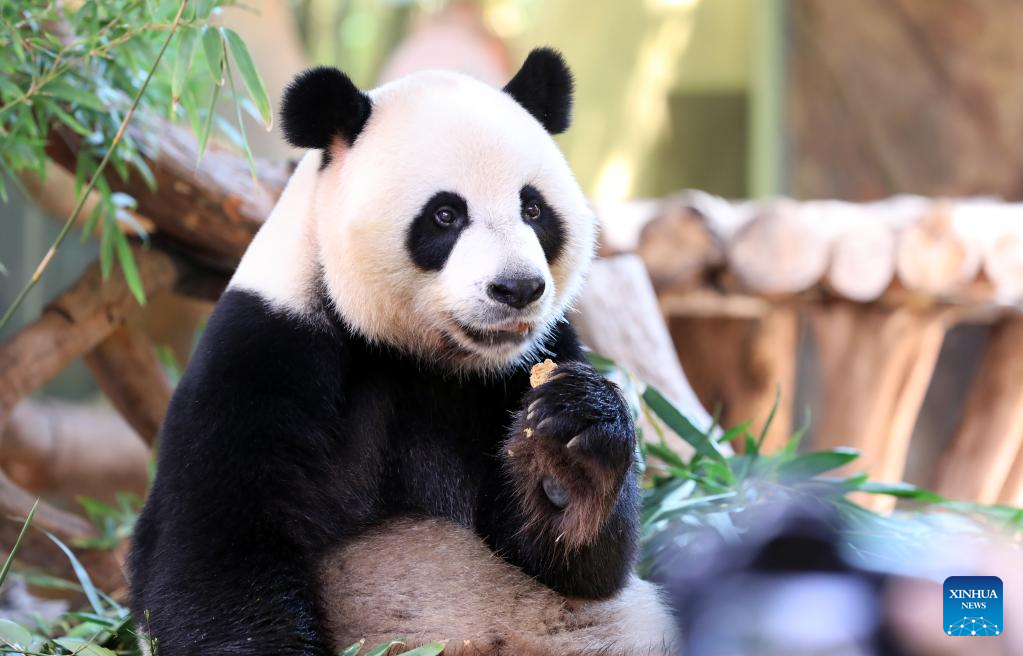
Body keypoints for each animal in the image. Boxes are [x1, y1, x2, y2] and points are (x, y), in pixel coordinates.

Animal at [127, 47, 679, 654]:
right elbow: (214, 552)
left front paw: (569, 454)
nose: (517, 288)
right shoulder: (264, 350)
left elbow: (571, 570)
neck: (421, 354)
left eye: (533, 210)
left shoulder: (538, 355)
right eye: (445, 215)